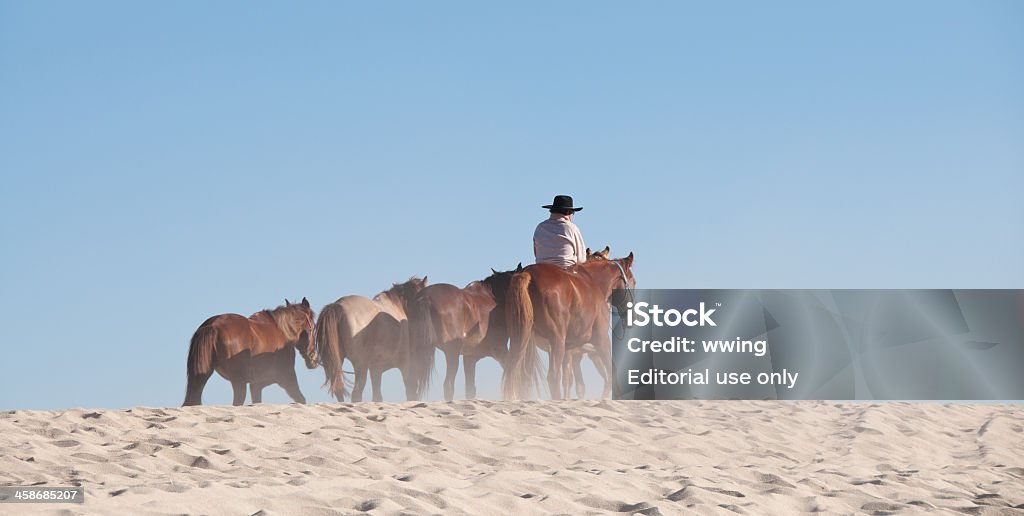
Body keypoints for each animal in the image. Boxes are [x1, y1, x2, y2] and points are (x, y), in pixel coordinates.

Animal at [182, 298, 313, 407]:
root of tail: (214, 325)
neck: (282, 331)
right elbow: (301, 399)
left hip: (202, 376)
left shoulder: (256, 384)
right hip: (239, 381)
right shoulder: (286, 377)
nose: (313, 359)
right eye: (312, 327)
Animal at [407, 264, 520, 401]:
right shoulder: (500, 350)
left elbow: (470, 389)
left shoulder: (469, 358)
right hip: (452, 353)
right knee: (448, 385)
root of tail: (426, 297)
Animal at [501, 251, 634, 401]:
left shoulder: (570, 351)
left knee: (519, 374)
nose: (633, 316)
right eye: (633, 280)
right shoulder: (601, 340)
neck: (593, 284)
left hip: (525, 341)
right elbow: (612, 371)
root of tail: (528, 273)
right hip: (557, 341)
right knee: (553, 376)